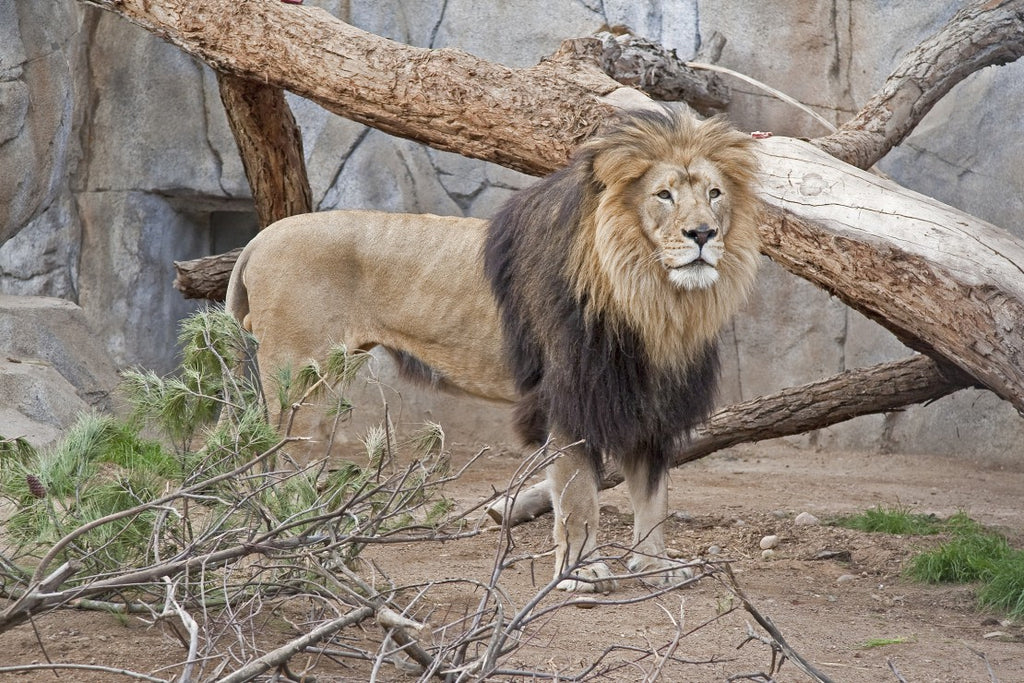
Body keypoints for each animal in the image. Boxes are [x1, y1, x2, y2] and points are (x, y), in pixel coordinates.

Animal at [228, 108, 765, 593]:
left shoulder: (649, 405)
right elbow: (578, 499)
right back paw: (291, 554)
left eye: (714, 194)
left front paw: (656, 567)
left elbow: (654, 500)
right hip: (299, 383)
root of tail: (259, 238)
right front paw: (581, 573)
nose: (703, 234)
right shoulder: (567, 401)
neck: (656, 300)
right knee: (272, 468)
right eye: (663, 195)